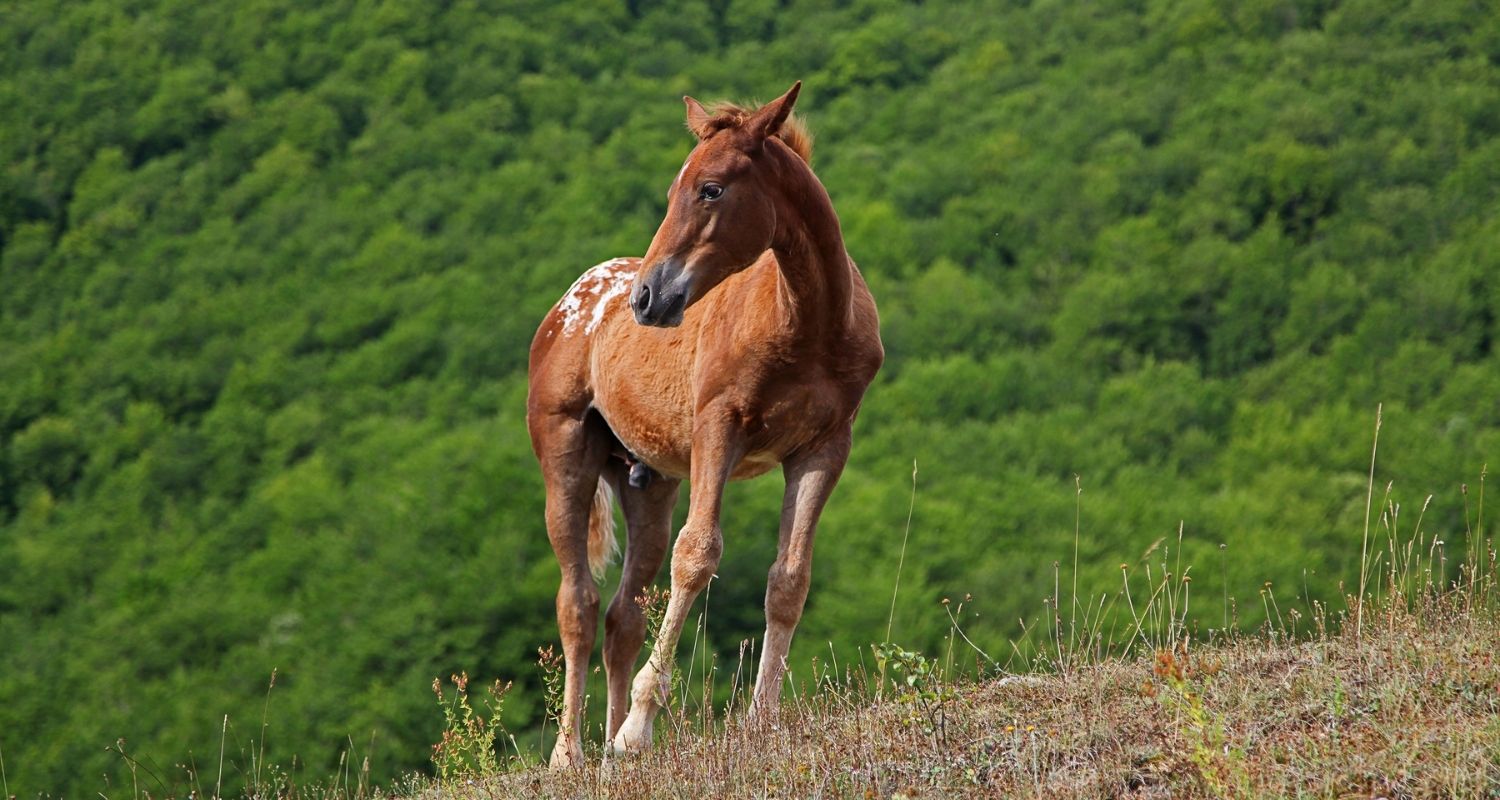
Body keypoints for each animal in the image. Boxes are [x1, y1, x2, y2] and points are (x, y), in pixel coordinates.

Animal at [525, 82, 876, 768]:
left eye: (711, 188)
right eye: (672, 189)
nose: (647, 298)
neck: (808, 324)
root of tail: (567, 305)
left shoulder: (824, 446)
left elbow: (788, 578)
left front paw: (760, 724)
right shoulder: (720, 425)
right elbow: (697, 554)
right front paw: (638, 728)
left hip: (649, 480)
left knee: (623, 614)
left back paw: (602, 750)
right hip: (564, 452)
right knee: (578, 603)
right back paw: (570, 755)